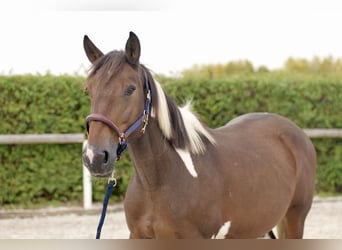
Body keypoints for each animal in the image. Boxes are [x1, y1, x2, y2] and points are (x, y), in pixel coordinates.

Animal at [81, 31, 316, 238]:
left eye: (130, 89)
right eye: (88, 90)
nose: (95, 157)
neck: (158, 182)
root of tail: (297, 133)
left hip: (295, 219)